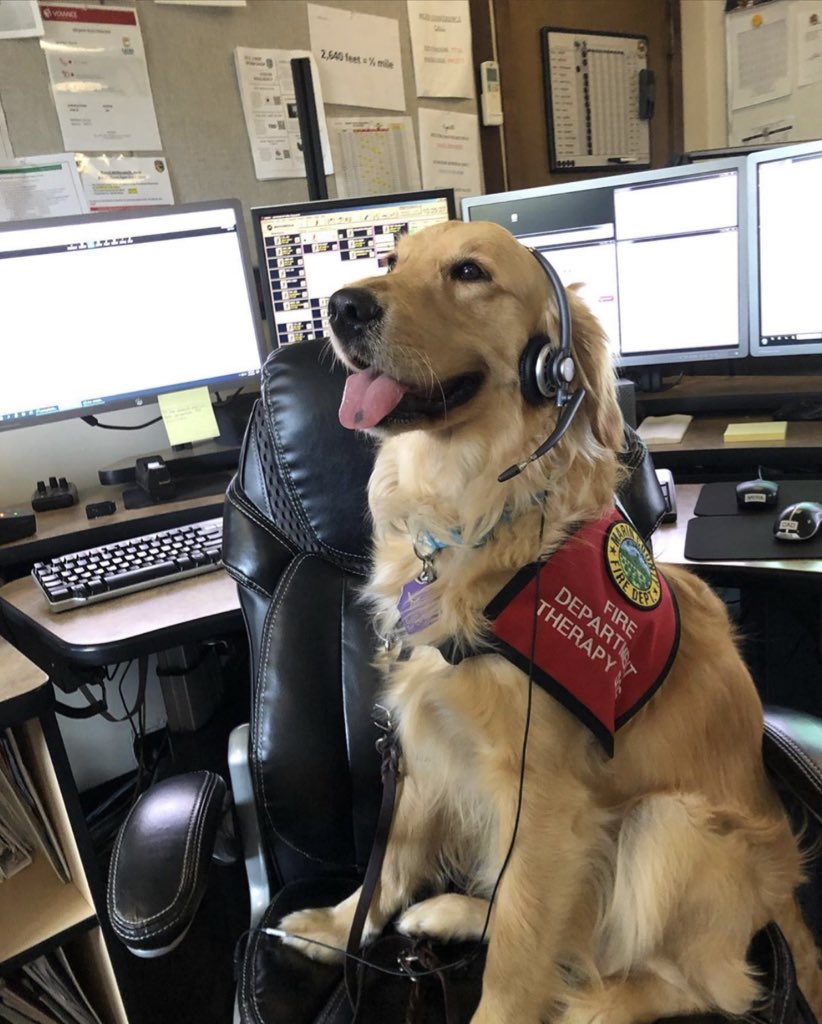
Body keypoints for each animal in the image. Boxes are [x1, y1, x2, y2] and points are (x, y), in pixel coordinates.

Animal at [278, 220, 822, 1019]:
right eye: (390, 260)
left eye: (469, 272)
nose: (343, 306)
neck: (476, 509)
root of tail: (784, 895)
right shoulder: (424, 739)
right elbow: (394, 858)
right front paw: (335, 925)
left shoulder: (540, 792)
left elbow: (520, 949)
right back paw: (451, 912)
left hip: (671, 827)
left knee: (692, 981)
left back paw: (593, 1003)